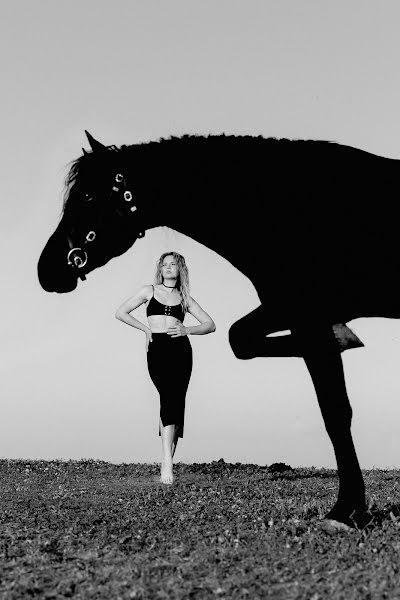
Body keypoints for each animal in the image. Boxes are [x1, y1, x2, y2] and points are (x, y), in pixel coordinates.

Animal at [38, 131, 400, 528]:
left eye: (87, 196)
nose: (46, 270)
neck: (288, 207)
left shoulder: (306, 313)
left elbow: (335, 411)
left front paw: (346, 510)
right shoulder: (289, 311)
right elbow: (238, 338)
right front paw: (345, 336)